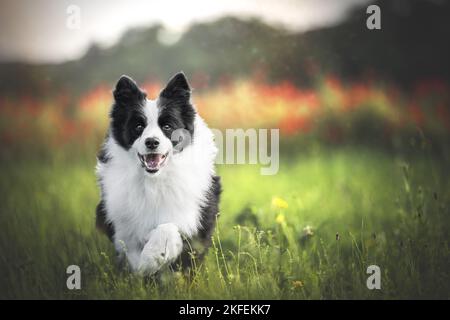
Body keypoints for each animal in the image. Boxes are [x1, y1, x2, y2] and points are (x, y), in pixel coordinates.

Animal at [95, 72, 221, 276]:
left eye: (167, 126)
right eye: (138, 126)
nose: (152, 142)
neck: (154, 180)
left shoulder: (191, 215)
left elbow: (168, 228)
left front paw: (151, 259)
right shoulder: (121, 222)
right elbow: (129, 249)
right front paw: (140, 269)